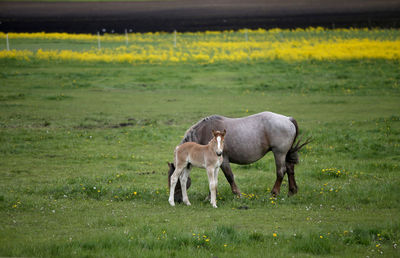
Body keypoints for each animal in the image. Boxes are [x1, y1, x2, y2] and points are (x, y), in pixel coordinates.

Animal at [167, 111, 310, 202]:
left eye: (174, 180)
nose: (177, 199)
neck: (205, 133)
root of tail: (288, 119)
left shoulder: (224, 161)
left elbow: (229, 177)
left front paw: (238, 194)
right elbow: (214, 180)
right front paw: (211, 196)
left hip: (279, 153)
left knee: (281, 171)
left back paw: (274, 193)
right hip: (285, 154)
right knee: (290, 169)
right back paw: (292, 191)